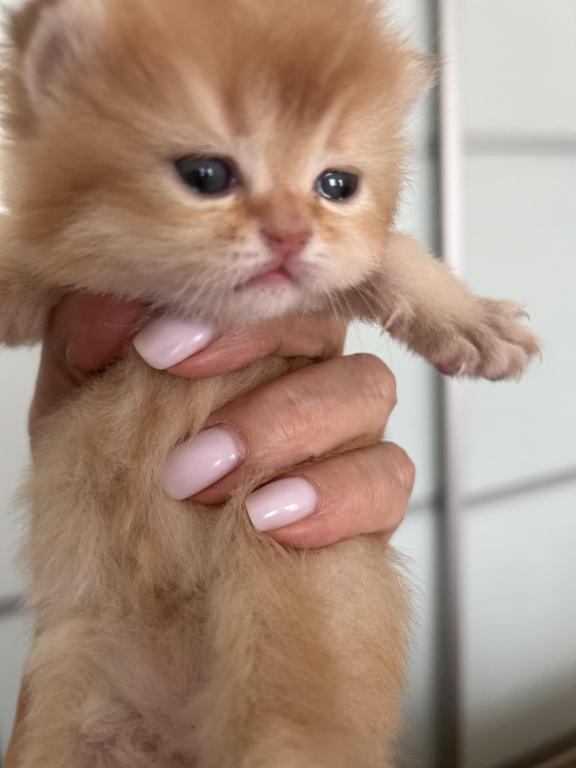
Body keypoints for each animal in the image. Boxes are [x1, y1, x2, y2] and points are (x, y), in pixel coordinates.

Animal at [0, 0, 539, 766]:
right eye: (205, 174)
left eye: (335, 185)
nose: (289, 234)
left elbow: (389, 254)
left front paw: (474, 322)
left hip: (282, 586)